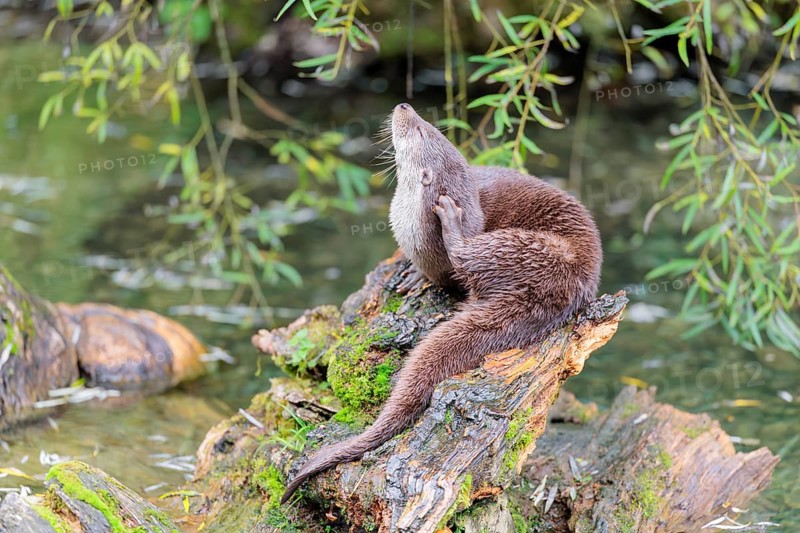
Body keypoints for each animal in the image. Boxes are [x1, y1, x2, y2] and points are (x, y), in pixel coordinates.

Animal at [281, 103, 602, 503]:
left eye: (419, 130)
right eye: (431, 125)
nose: (404, 106)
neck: (409, 222)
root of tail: (569, 291)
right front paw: (410, 273)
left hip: (530, 249)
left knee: (468, 253)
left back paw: (451, 219)